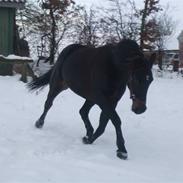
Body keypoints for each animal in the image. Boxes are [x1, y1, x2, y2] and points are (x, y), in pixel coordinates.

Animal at [28, 39, 156, 159]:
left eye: (150, 80)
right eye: (136, 79)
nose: (140, 109)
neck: (113, 67)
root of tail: (67, 50)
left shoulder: (112, 100)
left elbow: (103, 123)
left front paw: (89, 139)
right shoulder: (101, 98)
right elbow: (116, 120)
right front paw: (122, 150)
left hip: (90, 98)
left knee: (83, 111)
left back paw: (89, 133)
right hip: (58, 85)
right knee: (48, 104)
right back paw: (39, 123)